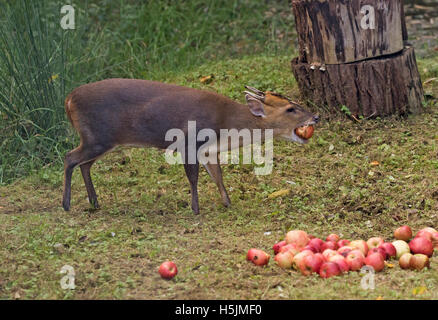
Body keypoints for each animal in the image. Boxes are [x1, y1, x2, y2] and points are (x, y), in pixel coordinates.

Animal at [62, 79, 318, 215]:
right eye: (290, 109)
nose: (315, 117)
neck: (225, 124)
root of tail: (68, 99)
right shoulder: (188, 141)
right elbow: (193, 177)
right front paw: (196, 208)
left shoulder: (208, 150)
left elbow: (218, 176)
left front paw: (227, 202)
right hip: (97, 136)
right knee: (69, 157)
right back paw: (66, 204)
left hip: (100, 140)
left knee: (84, 164)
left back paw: (94, 202)